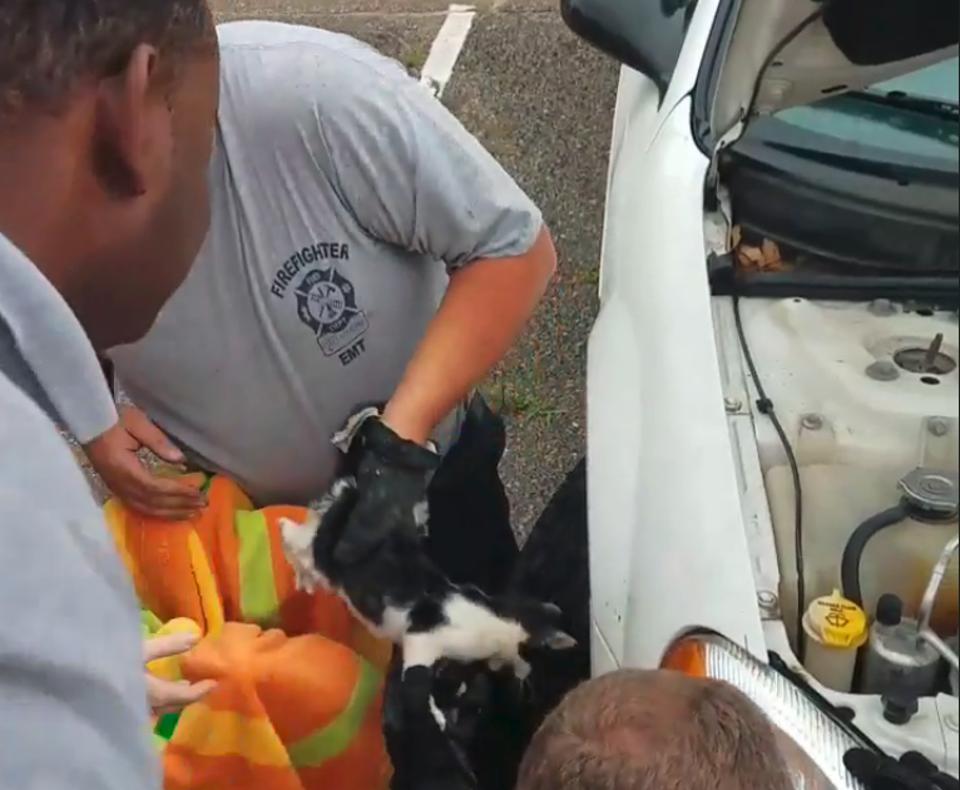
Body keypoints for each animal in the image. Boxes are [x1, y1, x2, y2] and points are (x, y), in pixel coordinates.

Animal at [280, 480, 576, 684]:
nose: (526, 675)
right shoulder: (420, 643)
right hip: (324, 563)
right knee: (294, 539)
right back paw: (301, 573)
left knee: (303, 530)